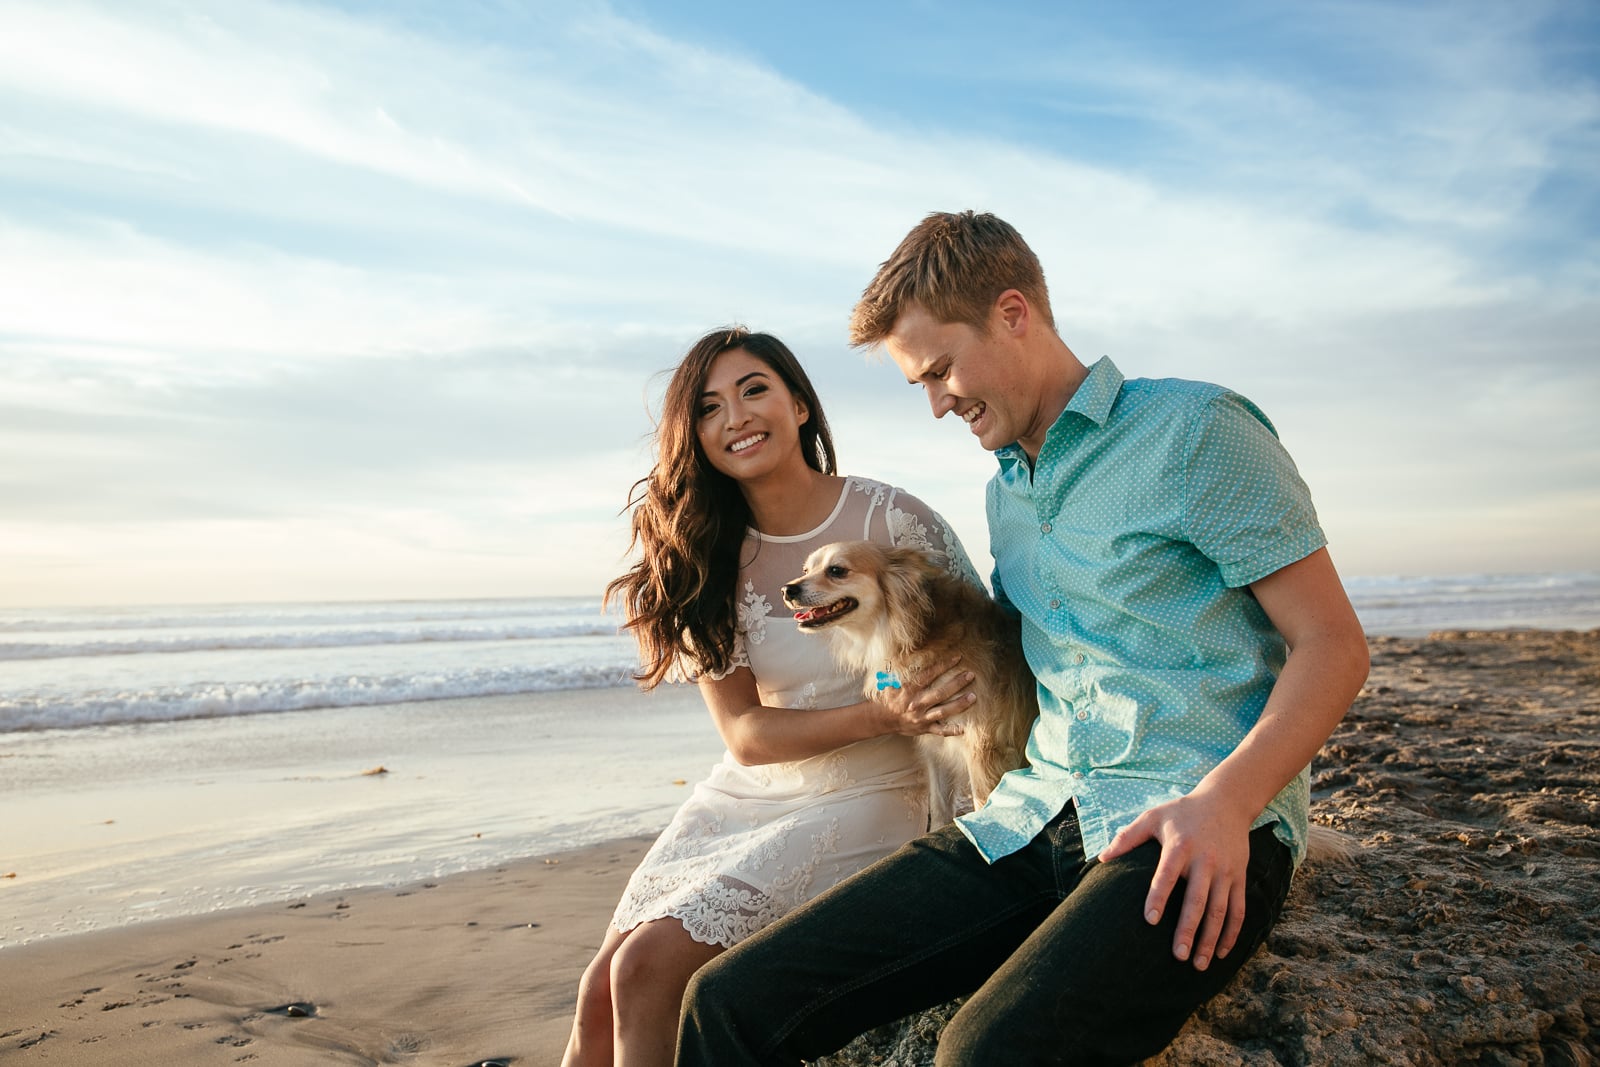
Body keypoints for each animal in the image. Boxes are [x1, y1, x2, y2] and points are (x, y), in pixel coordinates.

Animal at [784, 543, 1036, 825]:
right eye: (806, 570)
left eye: (837, 570)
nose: (788, 590)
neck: (917, 634)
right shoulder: (937, 743)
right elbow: (939, 810)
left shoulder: (985, 749)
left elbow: (984, 808)